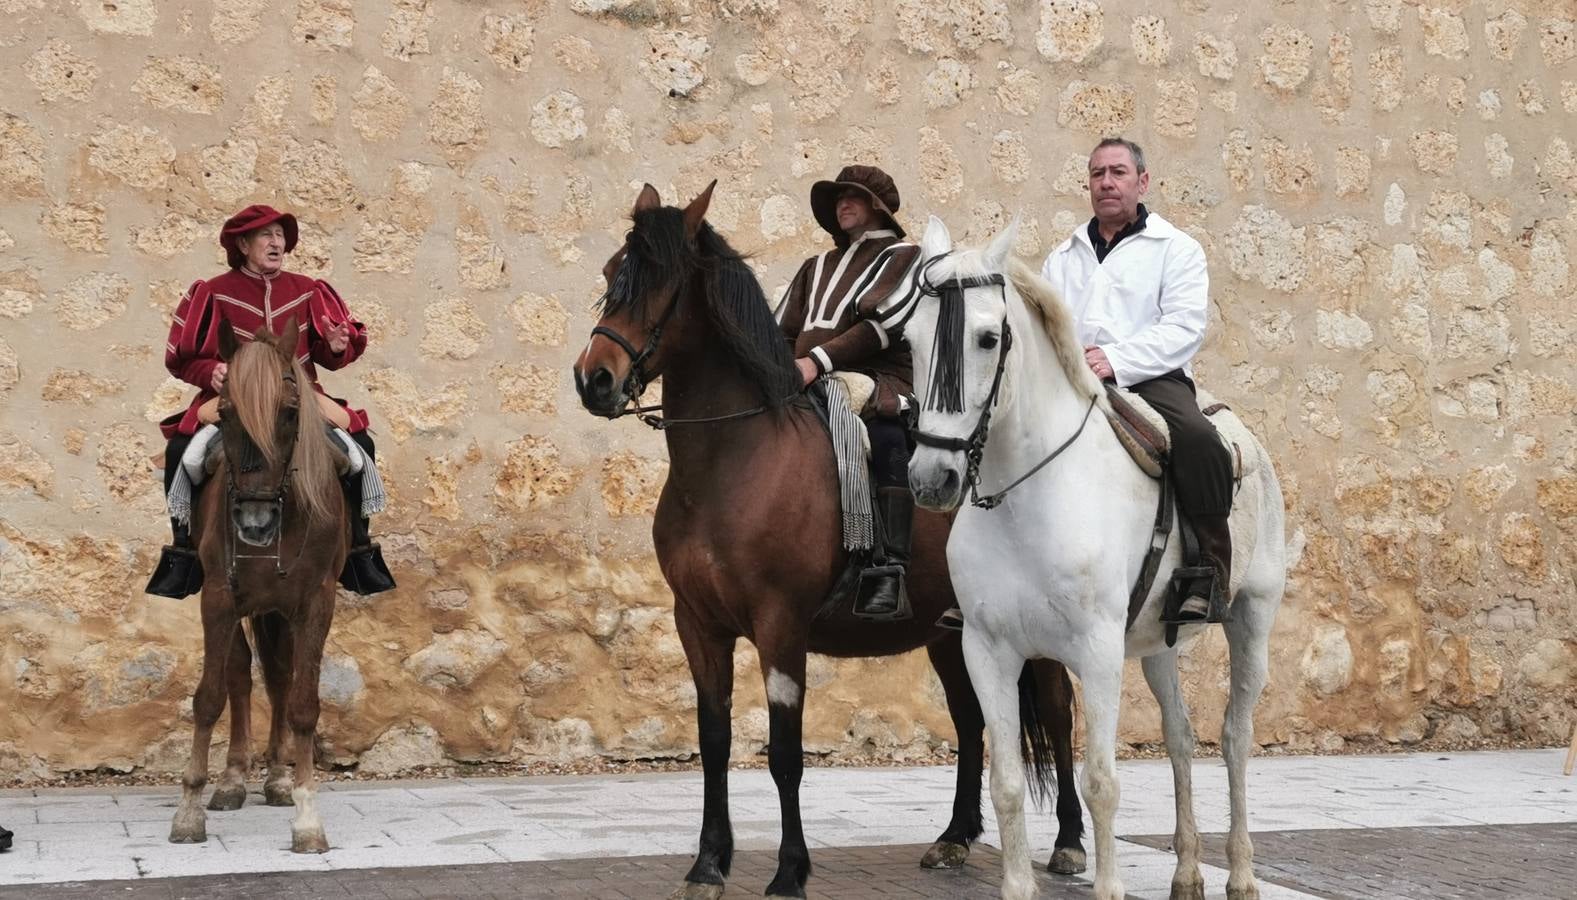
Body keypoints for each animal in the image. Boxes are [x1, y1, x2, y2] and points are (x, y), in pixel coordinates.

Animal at [168, 318, 348, 857]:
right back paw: (231, 780)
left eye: (289, 413)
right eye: (226, 414)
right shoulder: (219, 599)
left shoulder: (315, 602)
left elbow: (304, 703)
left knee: (279, 678)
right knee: (241, 678)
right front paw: (189, 809)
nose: (254, 522)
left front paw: (307, 816)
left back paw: (277, 780)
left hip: (277, 610)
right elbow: (209, 697)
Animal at [577, 185, 1084, 900]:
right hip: (949, 630)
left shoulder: (780, 625)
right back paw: (955, 837)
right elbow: (714, 740)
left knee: (1060, 713)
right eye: (611, 273)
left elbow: (785, 755)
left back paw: (1069, 841)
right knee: (969, 718)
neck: (732, 459)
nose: (593, 379)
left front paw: (789, 870)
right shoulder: (697, 624)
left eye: (660, 284)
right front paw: (708, 865)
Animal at [895, 220, 1286, 900]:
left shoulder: (1097, 653)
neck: (1027, 495)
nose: (932, 478)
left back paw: (1239, 874)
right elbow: (1005, 783)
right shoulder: (986, 651)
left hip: (1251, 621)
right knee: (1181, 738)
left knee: (1235, 738)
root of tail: (1245, 440)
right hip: (1158, 647)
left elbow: (1101, 782)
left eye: (987, 338)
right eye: (910, 339)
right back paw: (1188, 873)